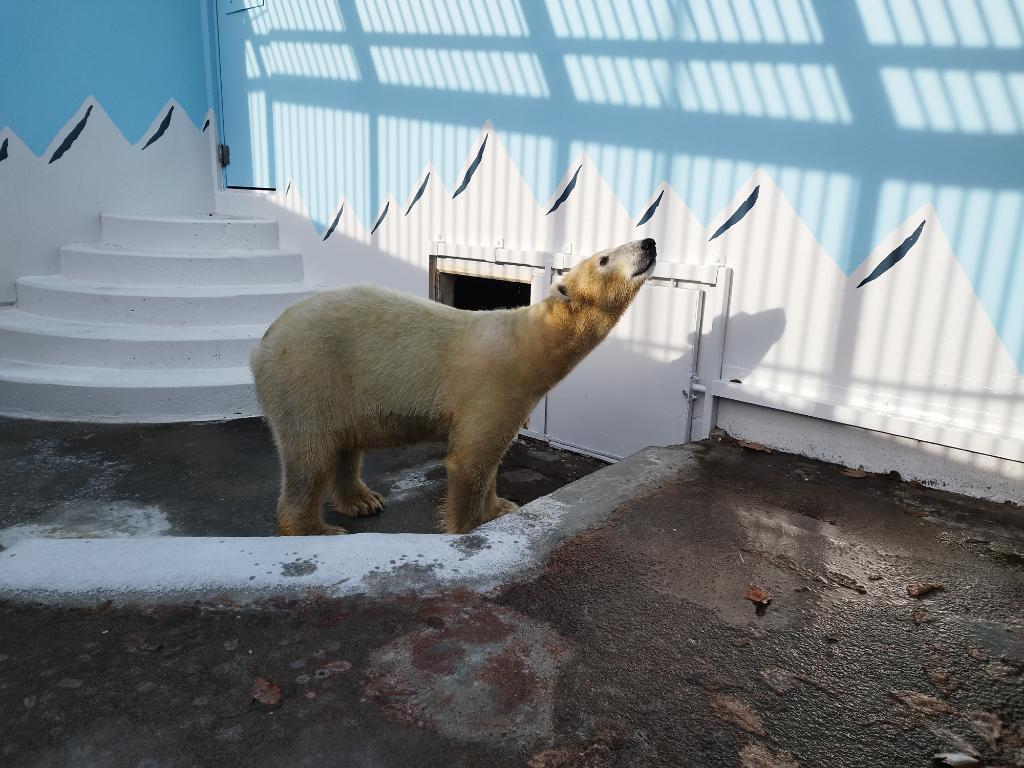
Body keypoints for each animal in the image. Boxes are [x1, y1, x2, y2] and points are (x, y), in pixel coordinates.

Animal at [250, 237, 657, 535]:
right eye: (605, 258)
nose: (649, 242)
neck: (528, 342)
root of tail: (264, 341)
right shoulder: (494, 385)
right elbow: (471, 459)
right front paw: (470, 525)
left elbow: (492, 459)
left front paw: (500, 507)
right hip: (308, 376)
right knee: (310, 455)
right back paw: (317, 529)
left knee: (344, 446)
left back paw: (364, 501)